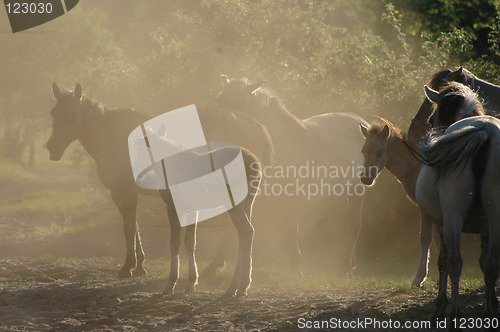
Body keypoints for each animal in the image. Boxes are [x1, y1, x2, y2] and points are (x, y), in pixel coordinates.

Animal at [47, 82, 274, 286]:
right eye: (53, 113)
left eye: (72, 115)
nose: (52, 147)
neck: (112, 136)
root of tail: (256, 127)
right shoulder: (129, 193)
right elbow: (136, 227)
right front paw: (140, 265)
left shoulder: (124, 192)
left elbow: (129, 228)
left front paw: (128, 266)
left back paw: (219, 268)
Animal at [218, 75, 368, 274]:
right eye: (219, 100)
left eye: (239, 101)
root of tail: (362, 122)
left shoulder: (293, 197)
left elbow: (291, 229)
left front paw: (296, 267)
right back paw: (350, 265)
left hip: (358, 192)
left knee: (354, 226)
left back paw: (344, 267)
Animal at [416, 82, 498, 320]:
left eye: (432, 119)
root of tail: (485, 132)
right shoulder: (486, 228)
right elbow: (484, 263)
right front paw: (493, 301)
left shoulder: (441, 224)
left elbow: (443, 262)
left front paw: (440, 303)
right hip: (495, 214)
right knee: (492, 263)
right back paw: (489, 312)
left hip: (453, 215)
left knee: (455, 261)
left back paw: (454, 311)